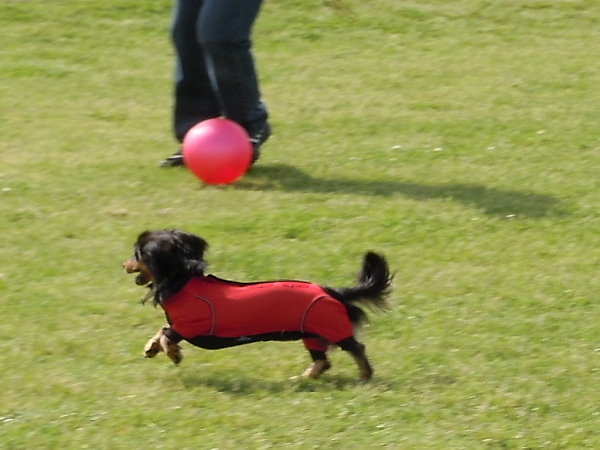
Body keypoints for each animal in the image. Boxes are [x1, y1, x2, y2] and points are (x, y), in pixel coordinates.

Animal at [124, 229, 392, 380]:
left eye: (137, 254)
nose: (124, 264)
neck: (183, 280)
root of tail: (332, 290)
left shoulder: (189, 325)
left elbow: (166, 335)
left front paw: (173, 354)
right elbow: (160, 332)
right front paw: (151, 348)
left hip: (333, 328)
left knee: (357, 349)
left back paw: (365, 376)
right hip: (311, 333)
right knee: (323, 361)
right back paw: (304, 378)